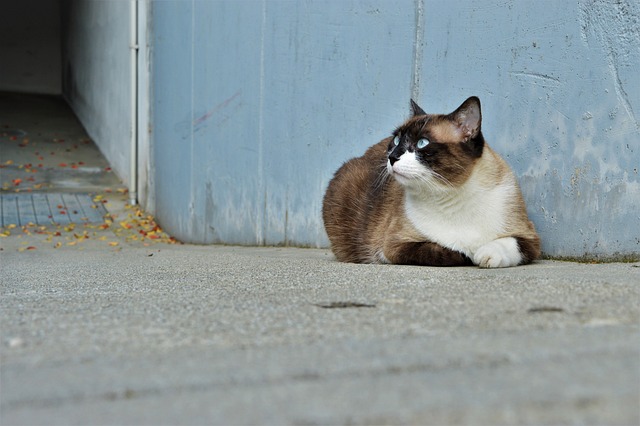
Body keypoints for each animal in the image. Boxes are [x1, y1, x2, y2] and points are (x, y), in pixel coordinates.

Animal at [322, 98, 536, 268]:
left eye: (422, 143)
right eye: (396, 140)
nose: (391, 157)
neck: (452, 196)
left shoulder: (530, 238)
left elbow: (508, 244)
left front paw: (485, 255)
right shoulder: (394, 246)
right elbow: (445, 251)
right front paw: (467, 254)